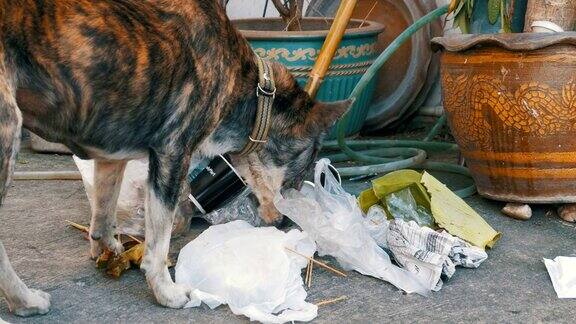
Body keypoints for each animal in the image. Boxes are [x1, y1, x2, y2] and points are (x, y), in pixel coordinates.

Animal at [0, 0, 352, 316]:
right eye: (305, 165)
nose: (286, 222)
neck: (250, 89)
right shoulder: (172, 155)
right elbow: (160, 242)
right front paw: (165, 292)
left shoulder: (110, 155)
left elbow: (104, 210)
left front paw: (108, 249)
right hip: (8, 135)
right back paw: (24, 301)